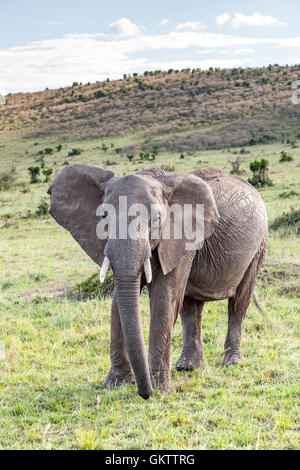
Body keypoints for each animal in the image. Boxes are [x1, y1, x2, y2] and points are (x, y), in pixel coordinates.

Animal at [48, 165, 268, 400]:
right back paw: (187, 367)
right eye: (104, 217)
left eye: (155, 219)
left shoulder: (182, 236)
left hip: (259, 244)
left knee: (238, 302)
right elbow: (119, 301)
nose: (144, 393)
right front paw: (116, 384)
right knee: (191, 306)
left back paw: (231, 362)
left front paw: (160, 391)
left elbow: (165, 297)